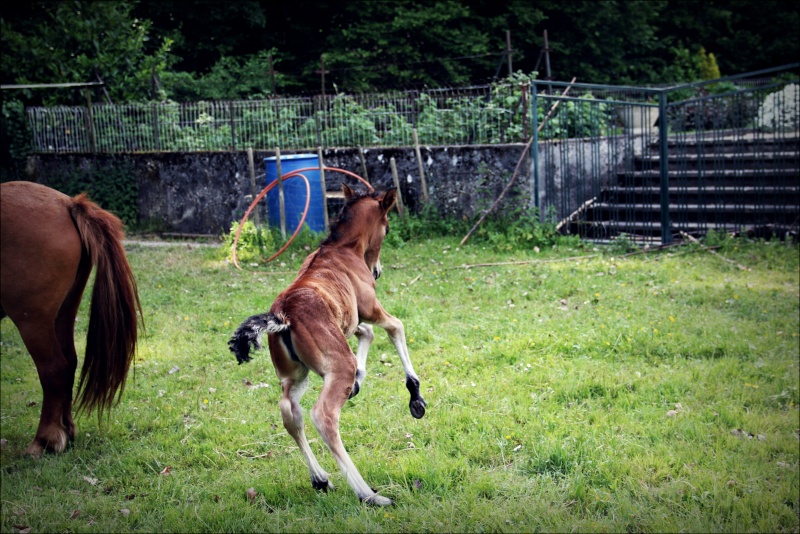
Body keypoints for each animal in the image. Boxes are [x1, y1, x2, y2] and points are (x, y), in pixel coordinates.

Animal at [0, 182, 142, 458]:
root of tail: (67, 204)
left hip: (33, 319)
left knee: (55, 368)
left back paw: (46, 439)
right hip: (64, 310)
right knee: (70, 362)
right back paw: (65, 430)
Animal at [228, 184, 428, 506]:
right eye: (386, 227)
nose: (377, 272)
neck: (342, 247)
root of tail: (282, 315)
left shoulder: (351, 321)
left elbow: (366, 334)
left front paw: (359, 380)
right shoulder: (370, 308)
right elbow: (395, 327)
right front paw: (416, 398)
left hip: (296, 375)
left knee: (290, 411)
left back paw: (321, 479)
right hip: (335, 368)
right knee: (322, 417)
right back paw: (369, 495)